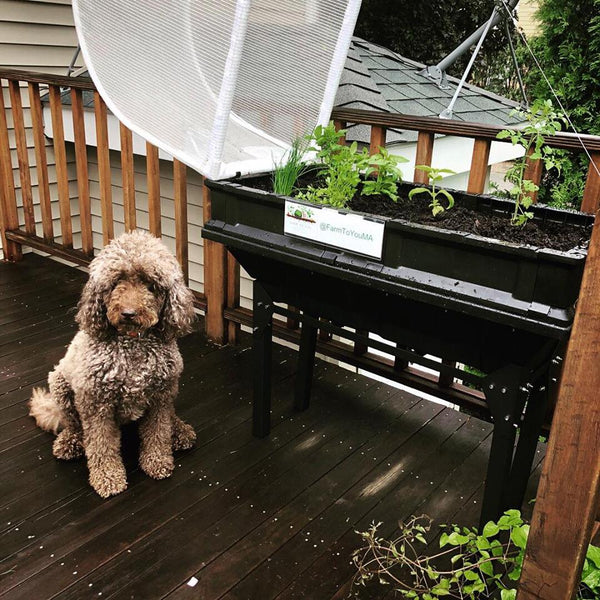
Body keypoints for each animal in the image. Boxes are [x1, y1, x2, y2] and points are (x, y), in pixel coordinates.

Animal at [29, 232, 197, 500]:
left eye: (150, 283)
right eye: (116, 281)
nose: (128, 313)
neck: (133, 344)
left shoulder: (160, 396)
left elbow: (158, 432)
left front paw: (157, 462)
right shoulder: (97, 405)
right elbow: (101, 445)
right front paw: (108, 478)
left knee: (170, 417)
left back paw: (179, 431)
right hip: (61, 386)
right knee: (73, 424)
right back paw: (69, 442)